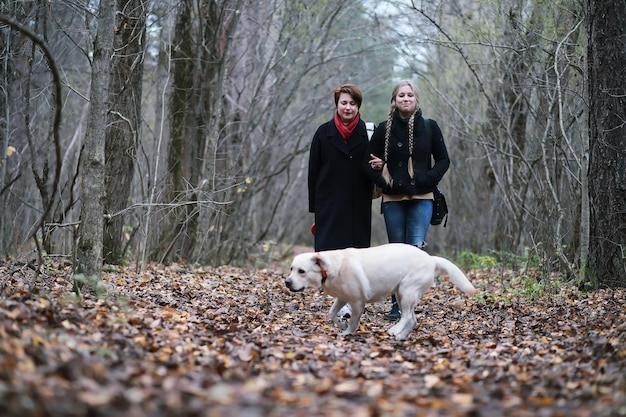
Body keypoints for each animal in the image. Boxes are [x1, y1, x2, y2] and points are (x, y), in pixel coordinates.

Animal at [286, 242, 476, 340]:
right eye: (291, 269)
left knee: (407, 317)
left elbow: (354, 320)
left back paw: (394, 330)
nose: (287, 282)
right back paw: (400, 336)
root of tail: (431, 258)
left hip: (406, 291)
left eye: (301, 271)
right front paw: (341, 324)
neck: (331, 268)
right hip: (401, 294)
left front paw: (347, 332)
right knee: (412, 319)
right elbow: (331, 313)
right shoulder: (342, 297)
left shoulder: (357, 301)